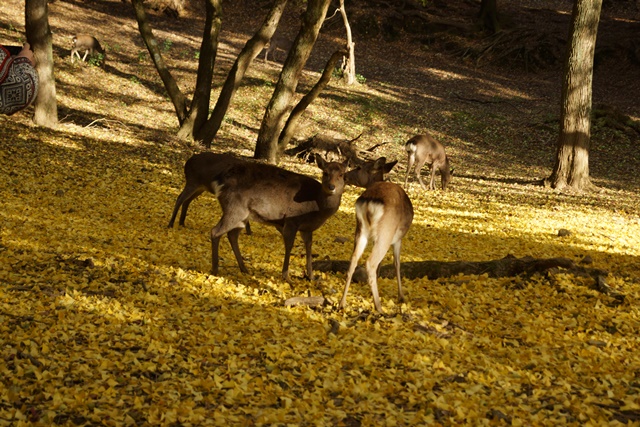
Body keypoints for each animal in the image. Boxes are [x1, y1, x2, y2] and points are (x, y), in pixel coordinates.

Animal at [209, 156, 350, 280]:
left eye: (342, 174)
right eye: (325, 173)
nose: (331, 187)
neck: (317, 206)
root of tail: (220, 183)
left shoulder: (307, 228)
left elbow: (309, 247)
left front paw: (312, 276)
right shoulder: (291, 221)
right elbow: (289, 245)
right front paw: (286, 276)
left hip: (243, 216)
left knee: (232, 235)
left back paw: (244, 269)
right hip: (234, 209)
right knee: (215, 231)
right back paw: (215, 270)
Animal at [340, 157, 416, 314]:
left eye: (358, 167)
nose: (344, 176)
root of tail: (369, 202)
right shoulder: (398, 239)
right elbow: (397, 263)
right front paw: (401, 296)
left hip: (360, 230)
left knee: (353, 260)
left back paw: (342, 303)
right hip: (386, 233)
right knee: (370, 262)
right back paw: (379, 307)